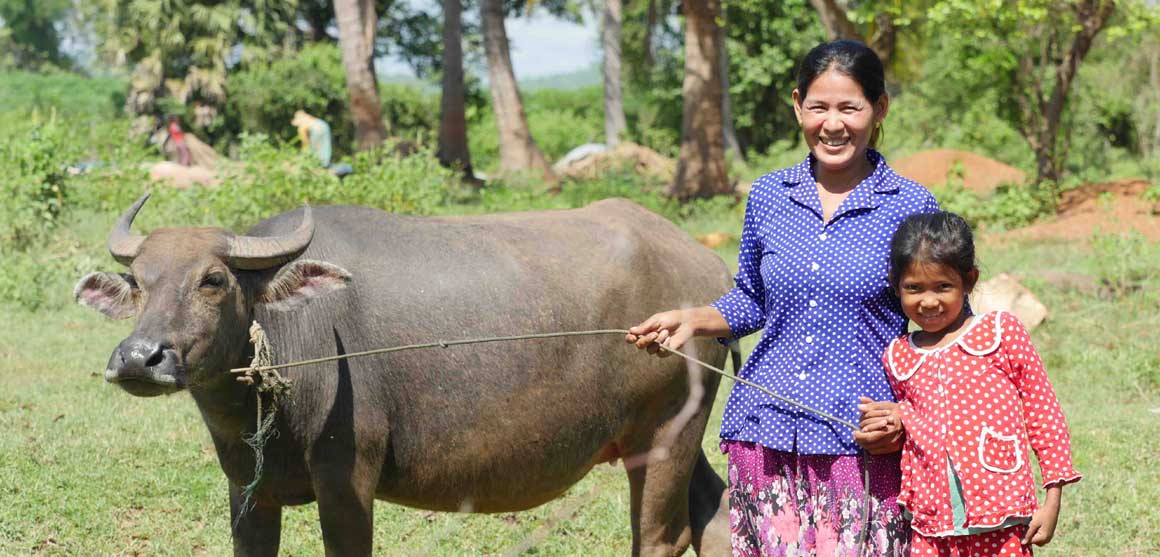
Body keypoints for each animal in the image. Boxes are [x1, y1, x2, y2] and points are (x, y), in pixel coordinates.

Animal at [75, 195, 735, 556]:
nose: (139, 357)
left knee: (662, 535)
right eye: (140, 284)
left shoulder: (347, 479)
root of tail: (709, 268)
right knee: (714, 509)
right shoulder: (247, 488)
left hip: (665, 434)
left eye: (212, 280)